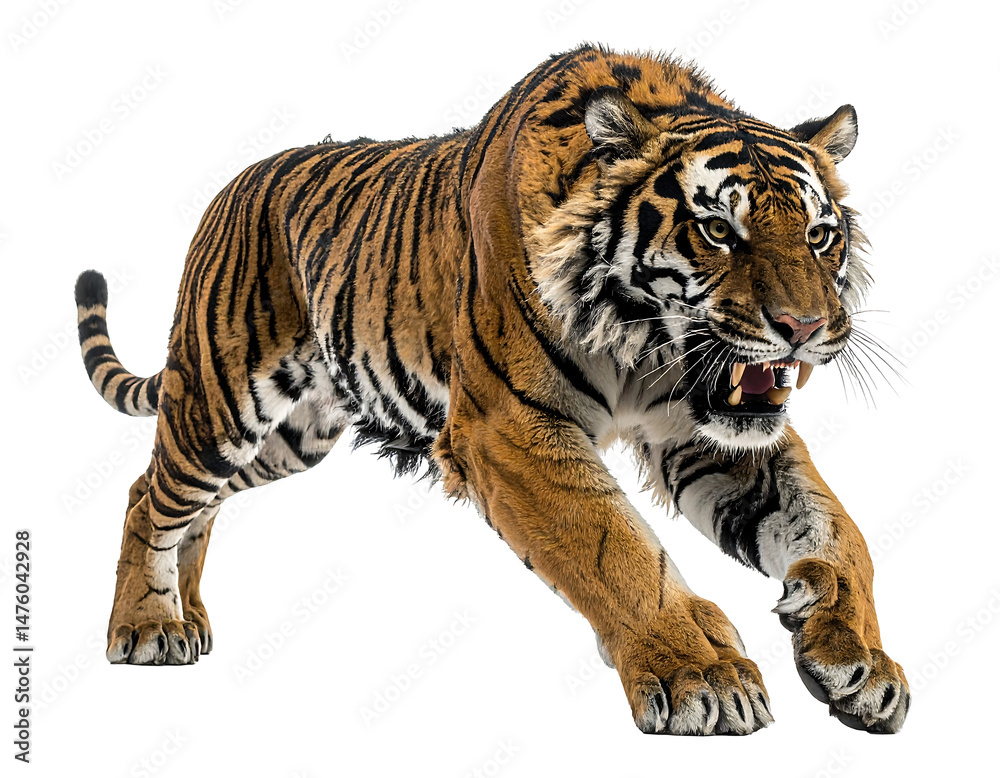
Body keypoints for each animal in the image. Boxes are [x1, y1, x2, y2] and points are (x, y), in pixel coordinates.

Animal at [74, 43, 908, 735]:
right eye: (718, 233)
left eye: (820, 237)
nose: (804, 328)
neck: (642, 344)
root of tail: (233, 185)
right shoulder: (509, 429)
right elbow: (616, 550)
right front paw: (703, 674)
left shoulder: (704, 432)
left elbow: (839, 533)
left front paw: (860, 660)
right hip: (221, 403)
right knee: (151, 494)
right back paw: (147, 627)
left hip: (293, 437)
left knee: (198, 506)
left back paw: (189, 615)